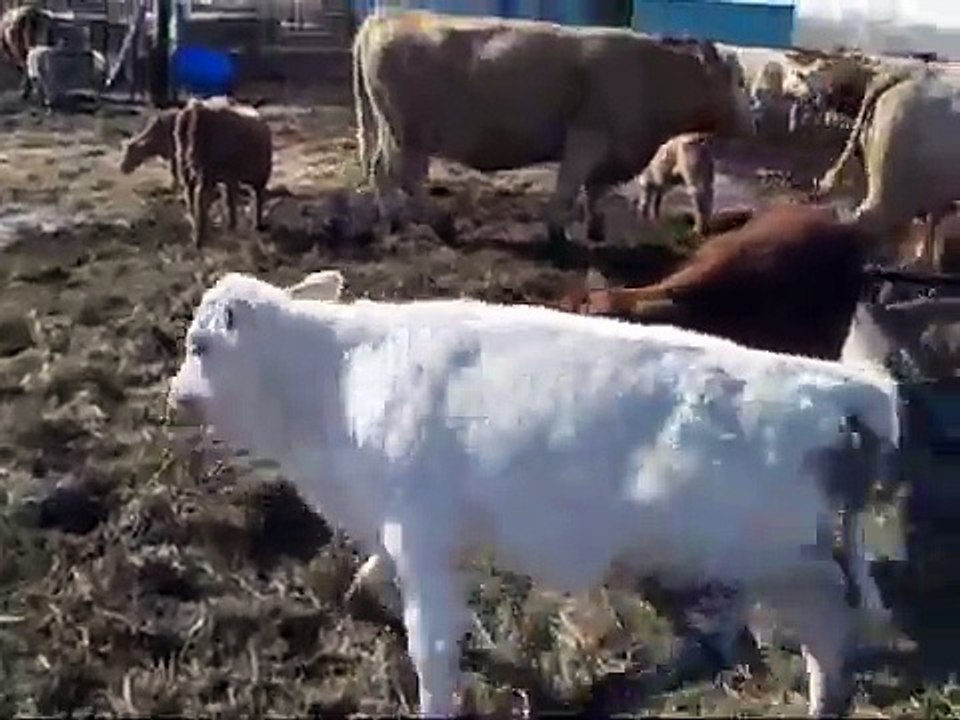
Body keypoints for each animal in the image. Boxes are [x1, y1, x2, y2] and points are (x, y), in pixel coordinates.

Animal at [167, 269, 900, 718]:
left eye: (199, 346)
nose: (173, 398)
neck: (334, 381)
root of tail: (841, 387)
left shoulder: (423, 535)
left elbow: (431, 649)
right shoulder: (408, 530)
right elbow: (375, 575)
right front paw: (354, 591)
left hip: (772, 557)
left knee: (826, 615)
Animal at [353, 10, 755, 252]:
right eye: (738, 80)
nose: (754, 120)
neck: (649, 72)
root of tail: (388, 15)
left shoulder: (612, 147)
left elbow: (595, 192)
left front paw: (596, 231)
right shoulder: (586, 137)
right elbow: (568, 189)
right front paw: (558, 237)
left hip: (399, 133)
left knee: (383, 171)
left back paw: (395, 221)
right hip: (408, 133)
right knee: (401, 175)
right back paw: (439, 225)